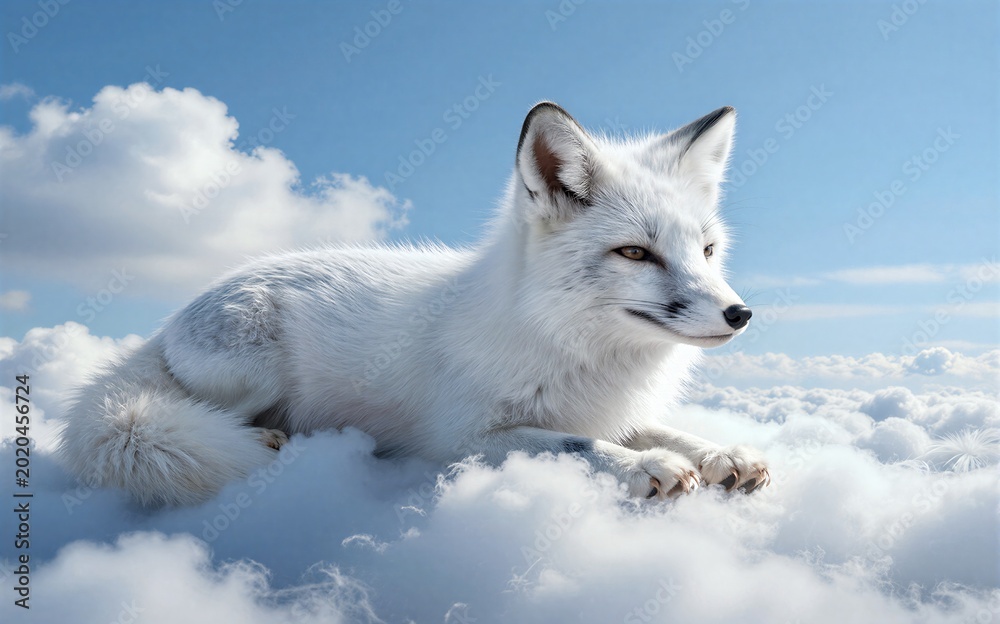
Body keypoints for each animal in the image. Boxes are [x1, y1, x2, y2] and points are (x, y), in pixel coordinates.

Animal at [59, 102, 769, 507]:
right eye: (635, 253)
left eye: (707, 250)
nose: (739, 316)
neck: (565, 343)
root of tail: (169, 321)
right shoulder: (460, 439)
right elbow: (574, 444)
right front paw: (643, 465)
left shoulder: (604, 407)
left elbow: (655, 428)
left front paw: (719, 453)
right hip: (251, 372)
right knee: (200, 413)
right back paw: (266, 438)